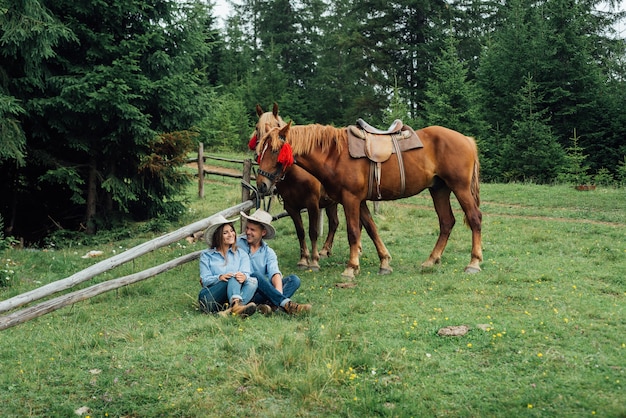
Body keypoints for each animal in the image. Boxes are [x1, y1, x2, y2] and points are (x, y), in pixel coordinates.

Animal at [251, 103, 338, 270]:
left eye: (276, 125)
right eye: (257, 128)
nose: (262, 184)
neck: (295, 175)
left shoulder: (312, 205)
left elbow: (313, 232)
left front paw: (314, 260)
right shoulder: (291, 207)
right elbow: (301, 232)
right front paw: (303, 259)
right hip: (331, 203)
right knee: (334, 223)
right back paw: (326, 250)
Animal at [256, 120, 480, 278]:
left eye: (275, 151)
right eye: (260, 150)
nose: (261, 185)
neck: (335, 155)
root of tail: (467, 139)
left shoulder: (350, 199)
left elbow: (353, 232)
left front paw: (351, 267)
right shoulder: (359, 201)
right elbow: (371, 229)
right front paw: (385, 262)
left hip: (459, 188)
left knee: (474, 217)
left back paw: (474, 262)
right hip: (439, 189)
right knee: (446, 222)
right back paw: (431, 260)